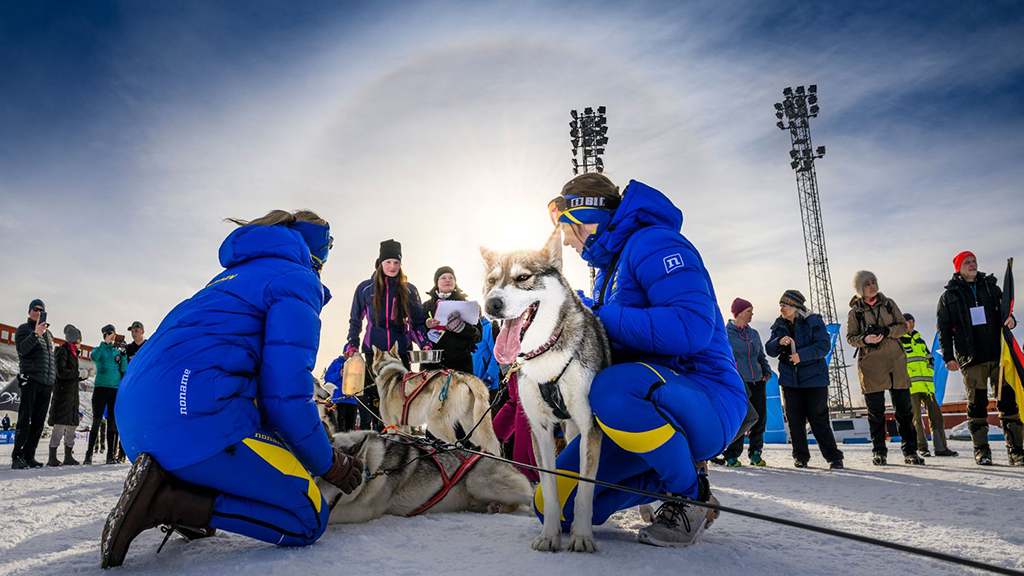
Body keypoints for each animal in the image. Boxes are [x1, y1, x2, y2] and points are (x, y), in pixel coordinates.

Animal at [313, 428, 536, 522]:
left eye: (328, 478)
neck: (372, 468)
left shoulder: (363, 510)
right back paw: (495, 507)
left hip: (479, 482)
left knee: (531, 496)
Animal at [374, 342, 505, 455]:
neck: (389, 369)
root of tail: (459, 375)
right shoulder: (405, 427)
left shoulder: (392, 426)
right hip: (473, 428)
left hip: (435, 423)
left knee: (456, 445)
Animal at [477, 229, 606, 553]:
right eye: (491, 281)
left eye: (522, 277)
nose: (492, 304)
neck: (546, 355)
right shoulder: (540, 428)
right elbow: (548, 489)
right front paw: (550, 535)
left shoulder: (590, 427)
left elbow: (585, 489)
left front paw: (582, 536)